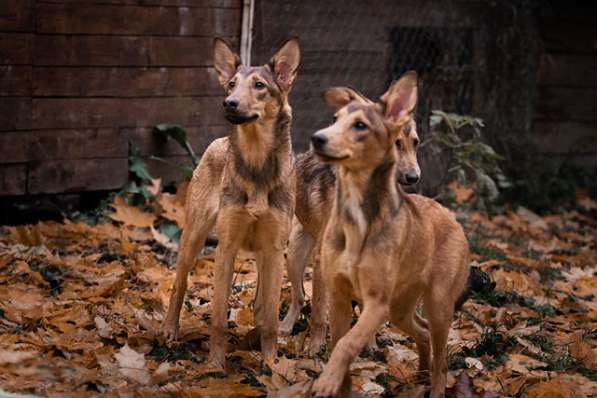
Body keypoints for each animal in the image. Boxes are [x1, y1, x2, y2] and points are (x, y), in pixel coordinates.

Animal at [161, 38, 300, 370]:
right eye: (232, 84)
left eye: (260, 85)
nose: (229, 103)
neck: (256, 163)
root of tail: (218, 143)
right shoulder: (226, 247)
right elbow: (218, 318)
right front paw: (215, 365)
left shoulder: (275, 249)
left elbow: (271, 319)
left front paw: (270, 365)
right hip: (193, 238)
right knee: (179, 284)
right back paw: (170, 329)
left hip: (265, 255)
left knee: (261, 303)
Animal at [278, 88, 420, 352]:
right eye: (396, 143)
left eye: (414, 143)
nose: (414, 177)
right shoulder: (323, 260)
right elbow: (319, 313)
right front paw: (314, 348)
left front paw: (370, 346)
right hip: (294, 255)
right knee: (299, 297)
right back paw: (285, 327)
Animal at [308, 72, 470, 398]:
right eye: (335, 119)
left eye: (360, 125)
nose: (317, 138)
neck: (357, 217)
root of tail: (450, 215)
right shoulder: (339, 295)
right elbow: (337, 344)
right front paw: (336, 382)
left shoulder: (376, 303)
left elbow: (347, 344)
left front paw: (327, 380)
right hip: (400, 308)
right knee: (422, 332)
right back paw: (419, 373)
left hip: (437, 305)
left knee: (442, 360)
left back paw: (434, 385)